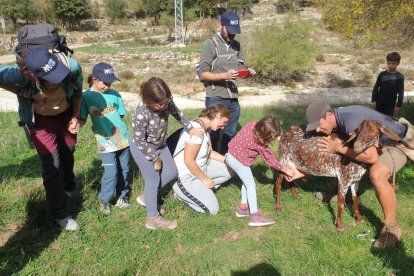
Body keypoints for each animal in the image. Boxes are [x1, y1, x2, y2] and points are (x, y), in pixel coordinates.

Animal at [274, 119, 402, 230]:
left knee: (290, 177)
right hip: (284, 159)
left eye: (372, 131)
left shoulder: (355, 180)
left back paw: (295, 195)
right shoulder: (344, 178)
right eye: (358, 130)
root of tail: (285, 133)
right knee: (278, 182)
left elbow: (355, 198)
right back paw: (278, 207)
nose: (357, 146)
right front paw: (339, 224)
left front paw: (359, 217)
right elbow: (341, 201)